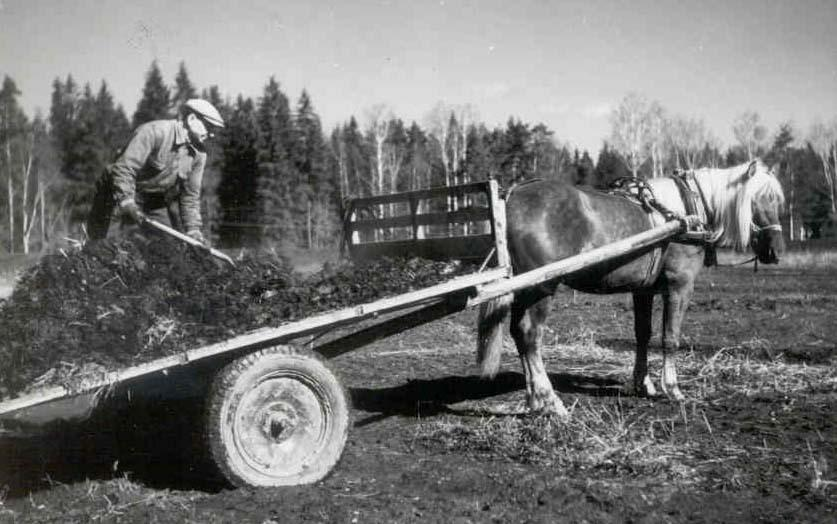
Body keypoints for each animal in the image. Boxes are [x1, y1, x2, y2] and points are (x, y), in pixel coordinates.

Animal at [476, 158, 784, 416]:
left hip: (525, 291)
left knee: (518, 333)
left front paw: (643, 383)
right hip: (541, 288)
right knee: (531, 335)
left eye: (776, 200)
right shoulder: (680, 285)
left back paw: (533, 400)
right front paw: (672, 388)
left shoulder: (643, 290)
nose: (775, 250)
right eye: (760, 199)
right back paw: (549, 399)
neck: (684, 213)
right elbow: (670, 337)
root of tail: (511, 197)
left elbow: (643, 334)